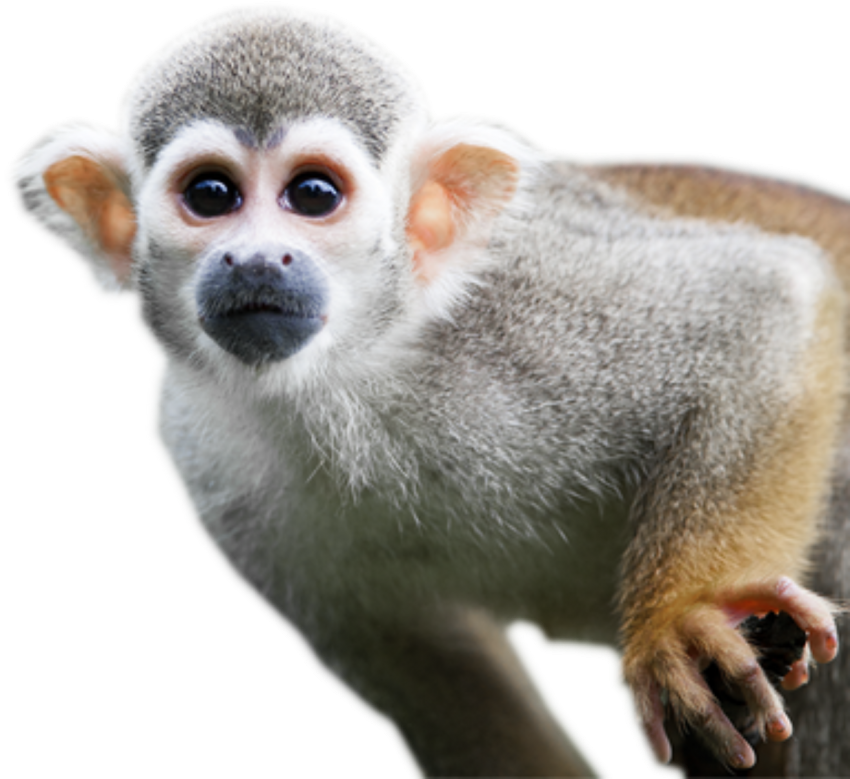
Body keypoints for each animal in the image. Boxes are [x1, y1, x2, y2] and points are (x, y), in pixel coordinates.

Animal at [14, 9, 846, 777]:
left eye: (312, 194)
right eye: (211, 194)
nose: (253, 260)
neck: (351, 377)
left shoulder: (528, 303)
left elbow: (761, 302)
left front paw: (685, 616)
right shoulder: (211, 462)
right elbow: (434, 663)